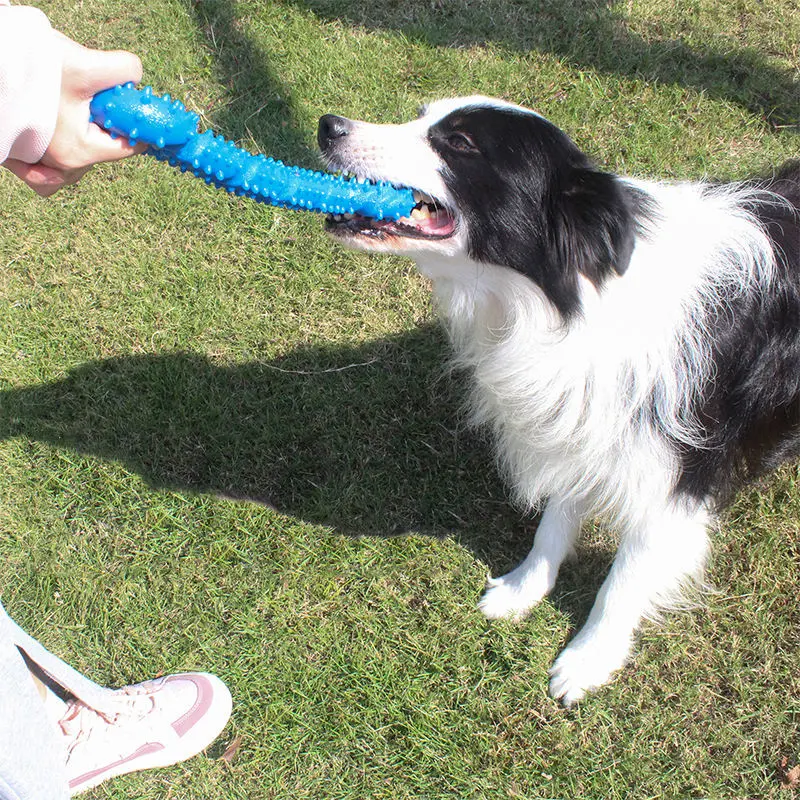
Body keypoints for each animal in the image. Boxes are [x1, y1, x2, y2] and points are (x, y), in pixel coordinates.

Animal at [318, 97, 800, 704]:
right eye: (424, 114)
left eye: (460, 143)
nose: (328, 126)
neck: (566, 301)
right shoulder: (578, 414)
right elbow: (554, 519)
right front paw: (524, 588)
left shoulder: (677, 476)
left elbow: (624, 578)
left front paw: (589, 659)